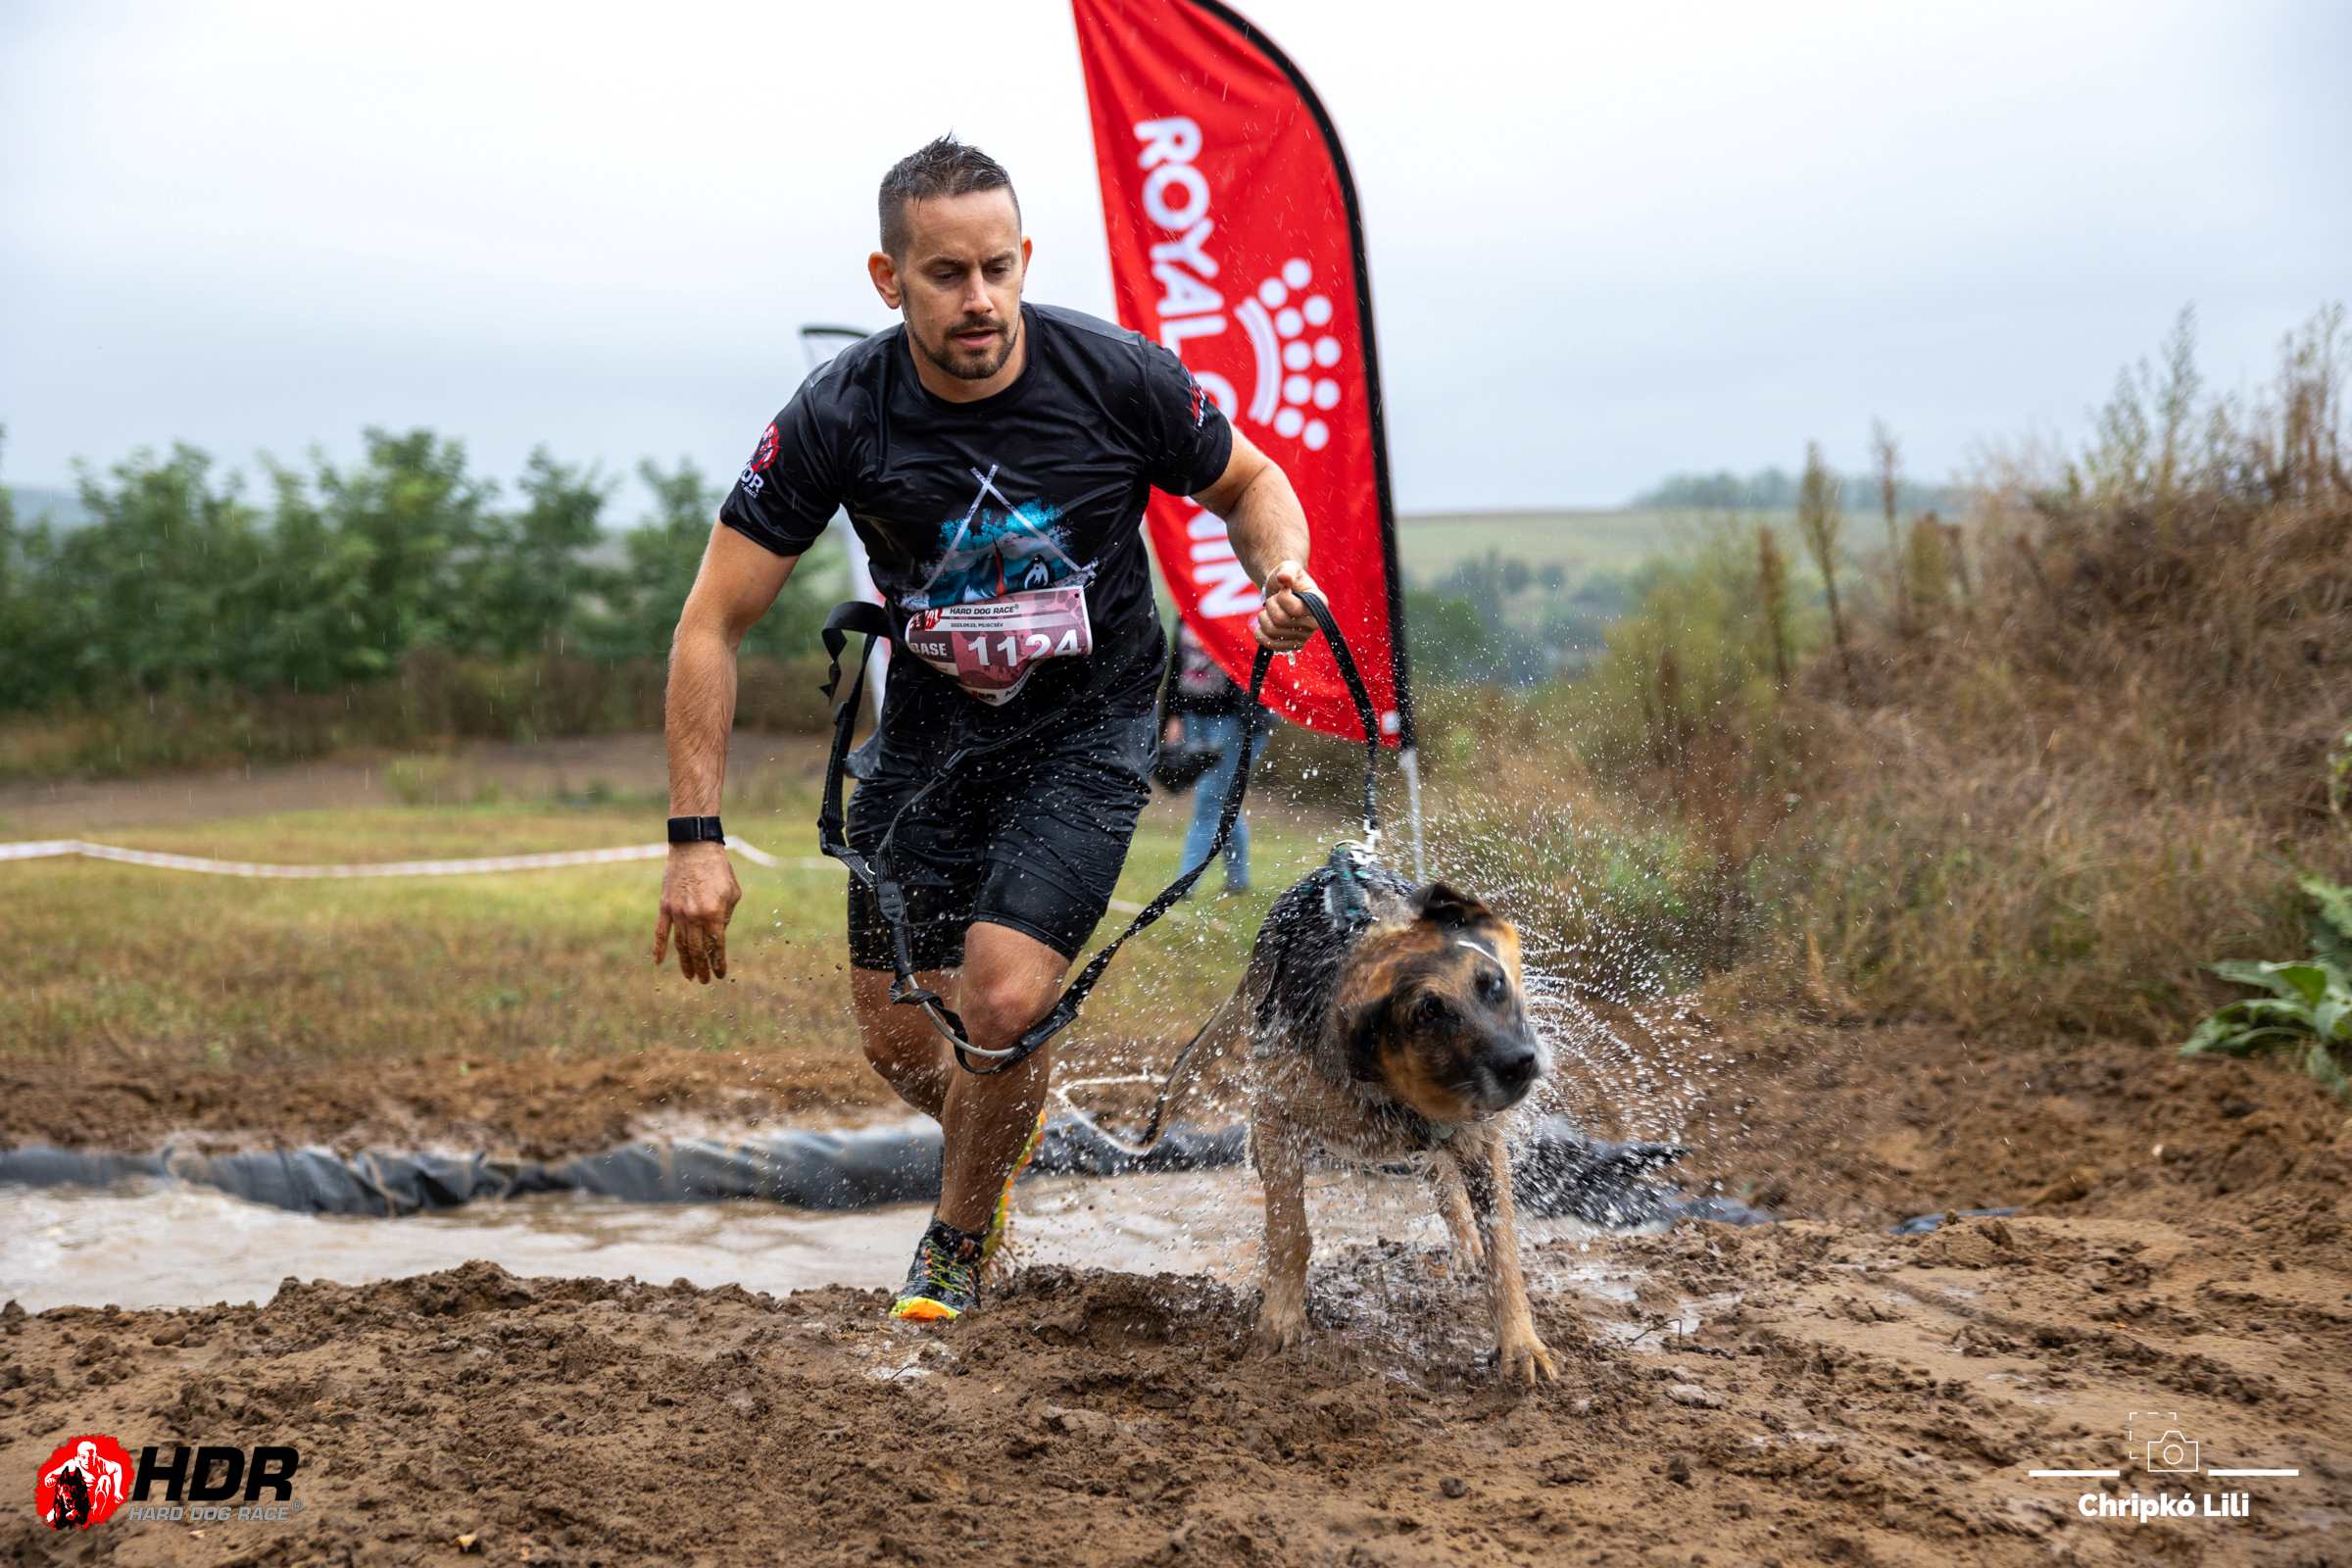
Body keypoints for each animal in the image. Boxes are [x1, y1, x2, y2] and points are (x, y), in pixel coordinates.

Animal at [1185, 859, 1552, 1382]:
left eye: (1494, 984)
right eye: (1429, 1012)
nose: (1521, 1062)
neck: (1390, 1087)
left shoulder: (1478, 1136)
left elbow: (1501, 1243)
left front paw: (1520, 1344)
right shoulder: (1280, 1116)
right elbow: (1289, 1231)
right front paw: (1281, 1317)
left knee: (1444, 1177)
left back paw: (1465, 1243)